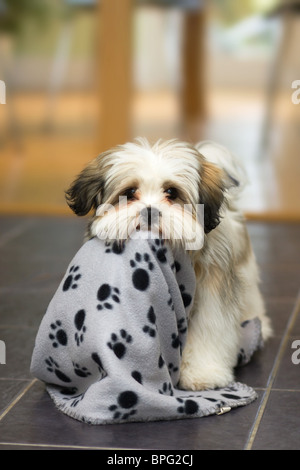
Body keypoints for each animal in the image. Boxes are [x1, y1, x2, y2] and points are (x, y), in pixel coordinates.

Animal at [65, 138, 272, 392]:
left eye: (171, 192)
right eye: (130, 192)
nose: (150, 212)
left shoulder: (213, 292)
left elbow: (209, 331)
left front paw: (203, 373)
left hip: (245, 269)